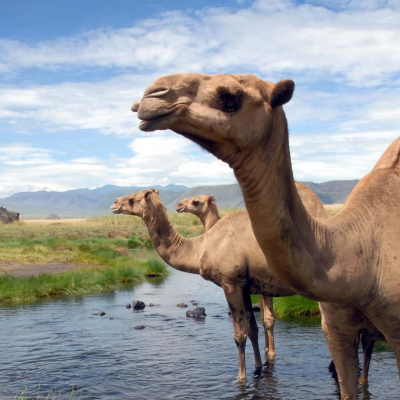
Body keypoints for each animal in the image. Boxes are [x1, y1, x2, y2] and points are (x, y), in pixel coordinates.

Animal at [130, 73, 396, 398]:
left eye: (229, 95)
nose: (151, 94)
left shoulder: (232, 281)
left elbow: (242, 333)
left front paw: (243, 377)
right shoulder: (251, 284)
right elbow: (257, 327)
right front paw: (260, 367)